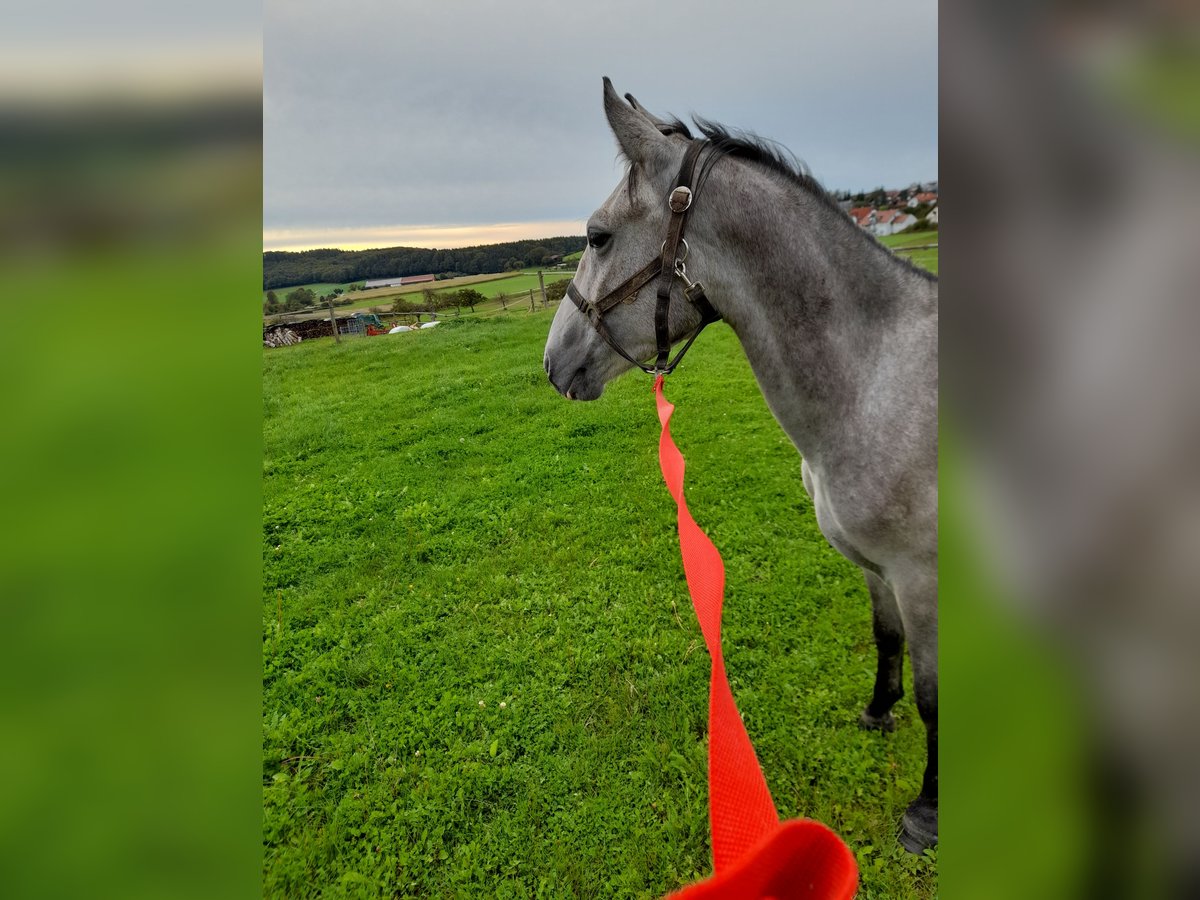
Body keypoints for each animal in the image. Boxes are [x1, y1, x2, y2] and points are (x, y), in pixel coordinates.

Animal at [544, 81, 936, 854]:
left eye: (598, 236)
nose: (552, 361)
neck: (874, 380)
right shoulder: (880, 571)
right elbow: (886, 638)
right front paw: (878, 712)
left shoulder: (922, 578)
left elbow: (935, 698)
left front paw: (926, 814)